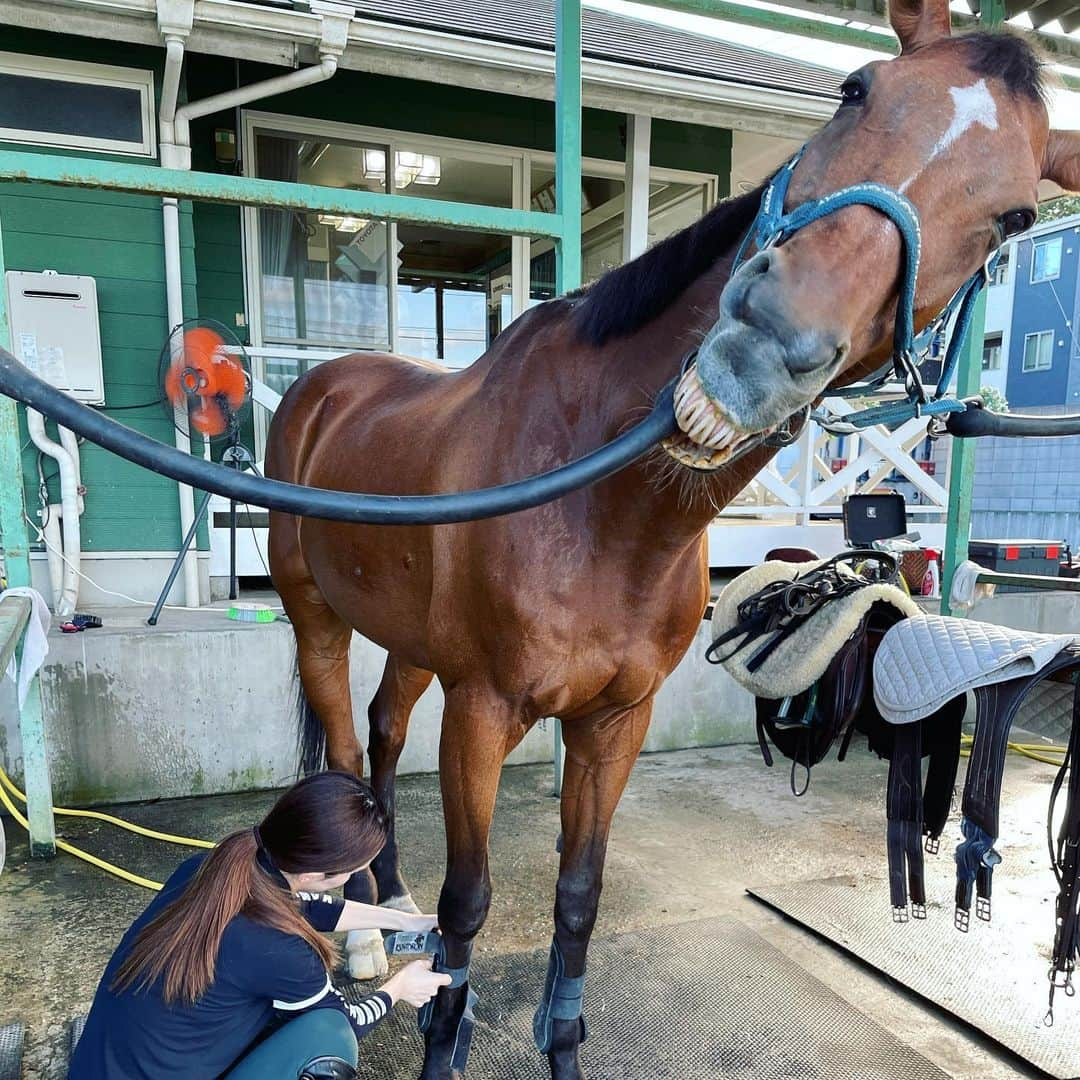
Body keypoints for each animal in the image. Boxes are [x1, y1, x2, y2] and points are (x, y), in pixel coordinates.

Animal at [267, 0, 1080, 1071]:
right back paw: (360, 935)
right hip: (316, 618)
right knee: (342, 755)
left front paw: (562, 1045)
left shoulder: (616, 720)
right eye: (855, 89)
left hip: (410, 640)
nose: (766, 345)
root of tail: (321, 387)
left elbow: (578, 898)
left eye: (1015, 219)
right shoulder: (483, 709)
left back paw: (387, 896)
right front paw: (444, 1035)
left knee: (381, 734)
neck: (604, 510)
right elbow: (471, 902)